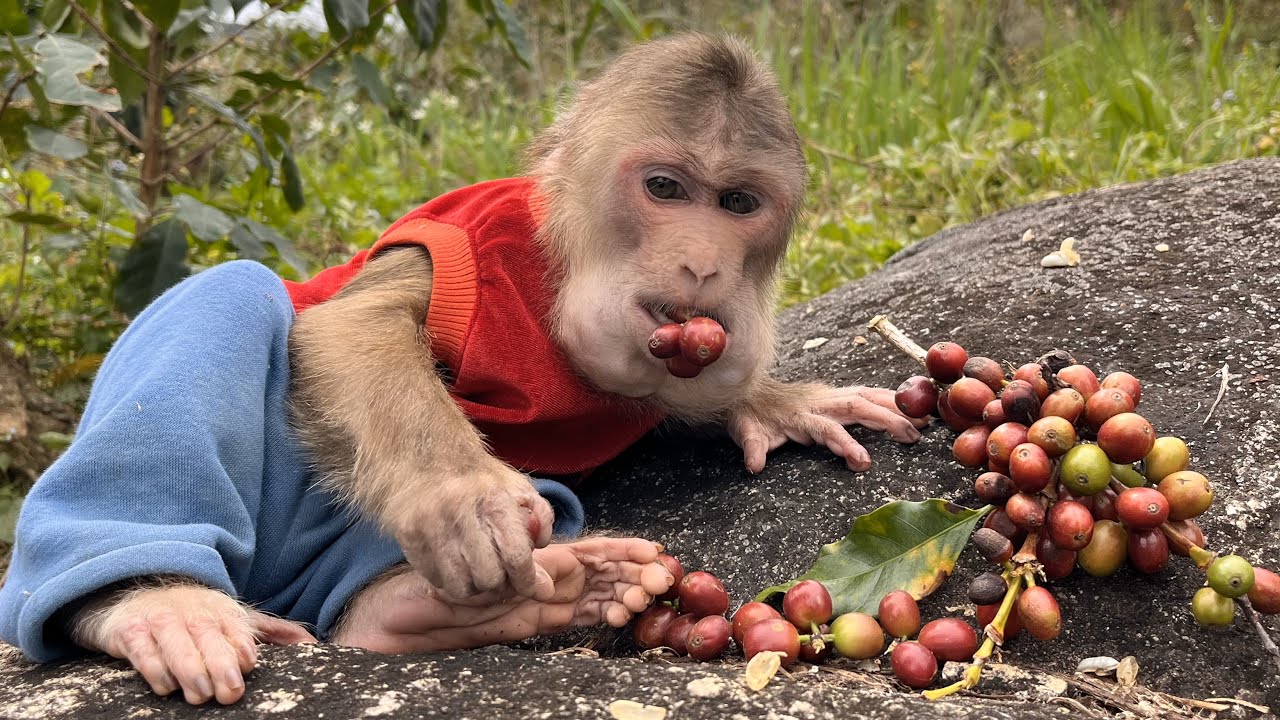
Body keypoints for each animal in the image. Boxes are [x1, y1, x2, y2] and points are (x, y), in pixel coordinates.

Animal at [0, 34, 922, 705]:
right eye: (665, 188)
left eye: (736, 203)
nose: (701, 264)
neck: (558, 294)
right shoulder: (482, 235)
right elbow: (355, 326)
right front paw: (459, 497)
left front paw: (773, 403)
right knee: (225, 298)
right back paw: (155, 600)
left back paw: (459, 603)